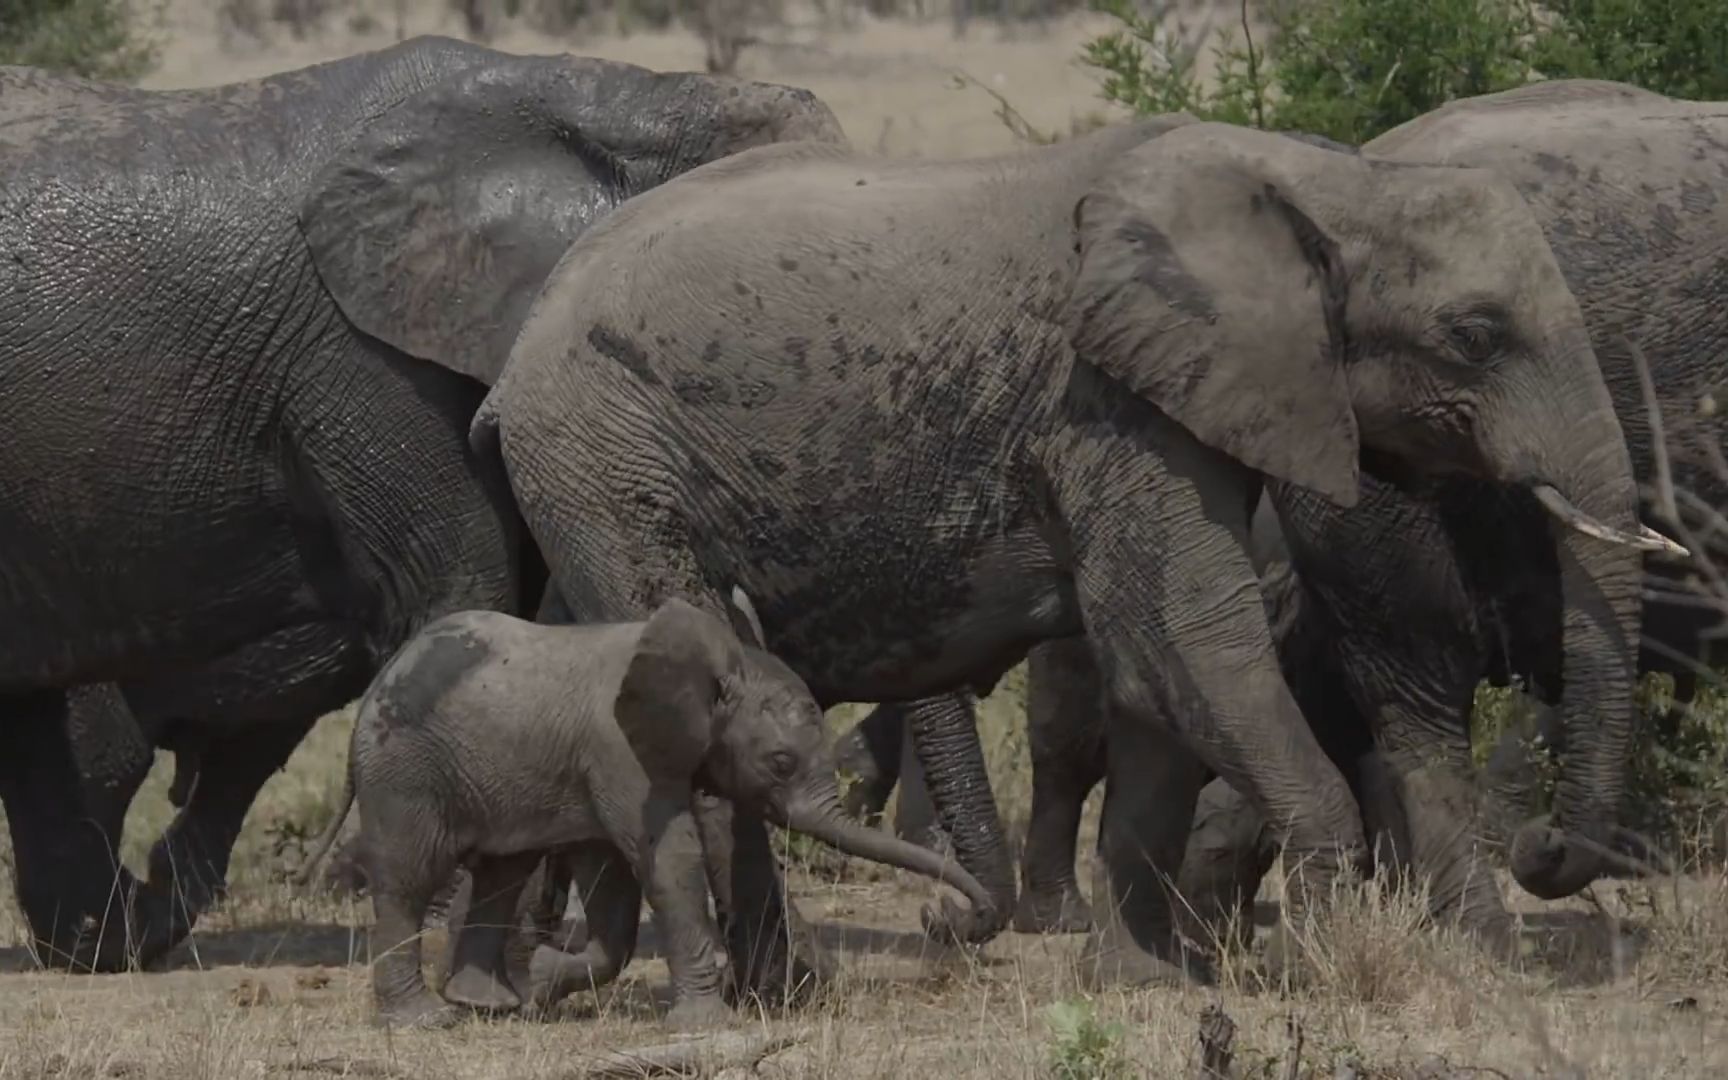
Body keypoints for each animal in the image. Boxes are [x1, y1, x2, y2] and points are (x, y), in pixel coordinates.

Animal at [304, 594, 995, 1022]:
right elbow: (665, 859)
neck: (715, 660)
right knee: (409, 881)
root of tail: (376, 689)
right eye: (779, 763)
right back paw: (424, 1021)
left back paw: (489, 1007)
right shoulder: (618, 751)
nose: (942, 911)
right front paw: (706, 1024)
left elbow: (615, 882)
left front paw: (547, 984)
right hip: (404, 773)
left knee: (501, 875)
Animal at [466, 111, 1665, 988]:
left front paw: (1143, 986)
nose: (1541, 848)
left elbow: (1153, 677)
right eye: (1476, 335)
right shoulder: (1108, 400)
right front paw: (1331, 961)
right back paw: (786, 985)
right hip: (602, 453)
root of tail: (521, 348)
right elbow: (1194, 637)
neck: (1321, 178)